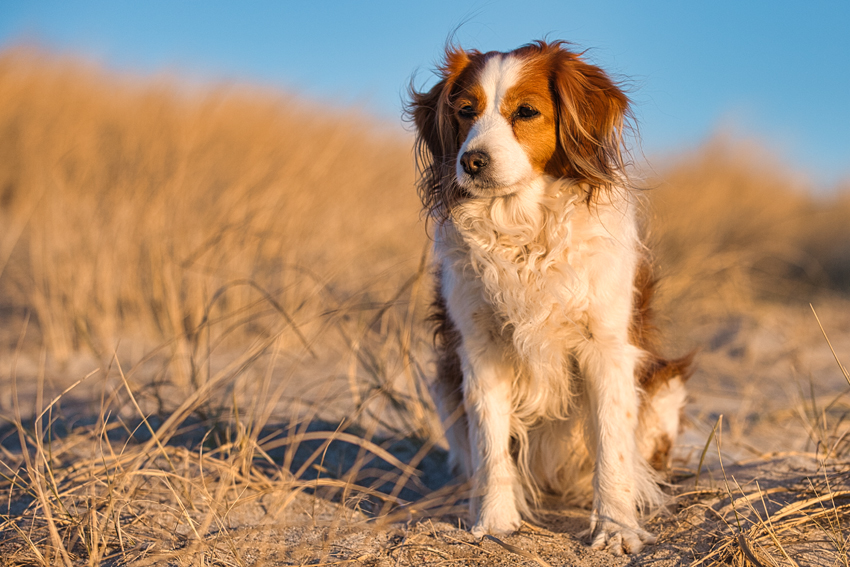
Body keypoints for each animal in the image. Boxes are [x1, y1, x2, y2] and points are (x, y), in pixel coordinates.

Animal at [408, 41, 692, 556]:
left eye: (526, 112)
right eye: (465, 111)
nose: (471, 161)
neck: (523, 232)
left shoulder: (607, 348)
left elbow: (612, 448)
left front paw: (615, 527)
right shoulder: (478, 348)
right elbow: (492, 445)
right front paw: (495, 522)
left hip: (666, 386)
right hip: (444, 383)